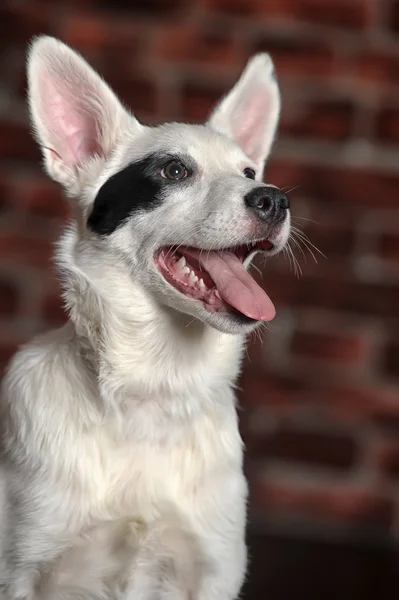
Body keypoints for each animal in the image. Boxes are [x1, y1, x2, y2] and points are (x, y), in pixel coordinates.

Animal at [0, 36, 290, 600]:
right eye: (174, 171)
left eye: (249, 173)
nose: (275, 198)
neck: (155, 390)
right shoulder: (20, 570)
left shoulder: (215, 569)